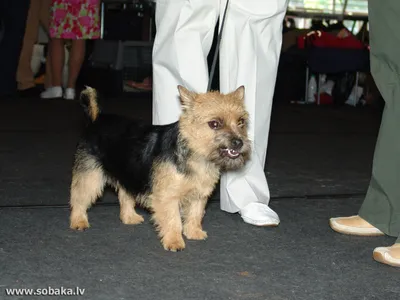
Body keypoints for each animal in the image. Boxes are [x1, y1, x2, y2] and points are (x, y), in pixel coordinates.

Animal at [69, 85, 250, 251]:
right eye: (214, 124)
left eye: (241, 122)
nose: (239, 142)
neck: (196, 154)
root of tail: (96, 119)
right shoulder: (168, 197)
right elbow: (173, 220)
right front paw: (174, 242)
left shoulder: (199, 195)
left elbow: (195, 214)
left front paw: (194, 232)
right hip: (90, 175)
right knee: (79, 197)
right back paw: (78, 221)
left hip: (129, 172)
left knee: (125, 194)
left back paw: (130, 217)